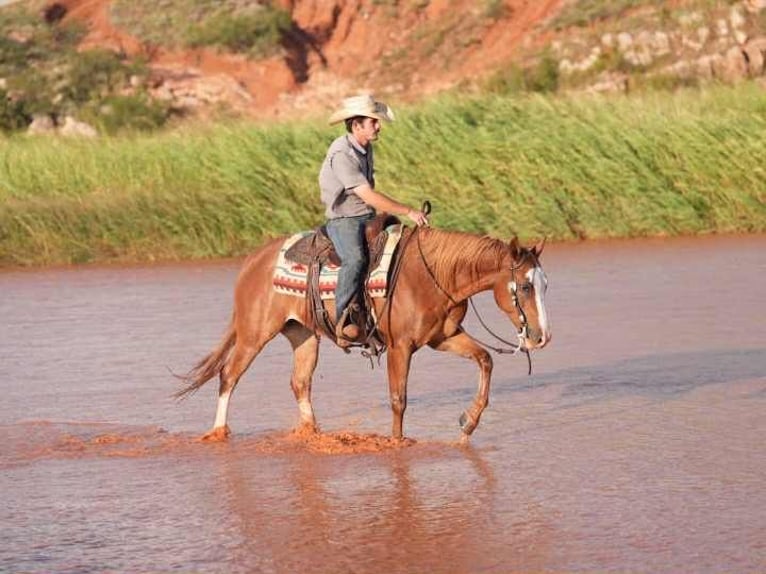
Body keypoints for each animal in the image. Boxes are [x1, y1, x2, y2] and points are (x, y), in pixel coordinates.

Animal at [179, 225, 551, 442]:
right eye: (525, 286)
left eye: (544, 284)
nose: (541, 337)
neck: (431, 276)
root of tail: (252, 261)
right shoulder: (401, 346)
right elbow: (398, 399)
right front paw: (397, 443)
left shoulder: (441, 338)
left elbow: (485, 359)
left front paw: (468, 422)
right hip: (254, 333)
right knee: (229, 375)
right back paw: (218, 432)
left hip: (303, 335)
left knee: (300, 382)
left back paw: (311, 432)